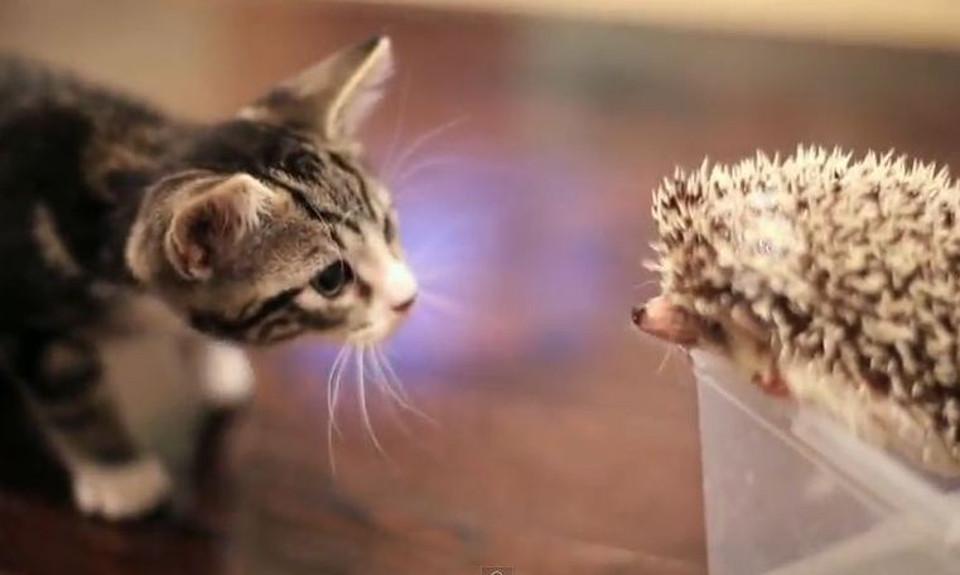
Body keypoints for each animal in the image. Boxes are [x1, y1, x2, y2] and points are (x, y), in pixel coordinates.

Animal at [0, 36, 420, 520]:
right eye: (331, 279)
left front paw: (217, 363)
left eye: (387, 226)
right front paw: (122, 475)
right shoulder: (31, 309)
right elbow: (65, 381)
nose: (408, 298)